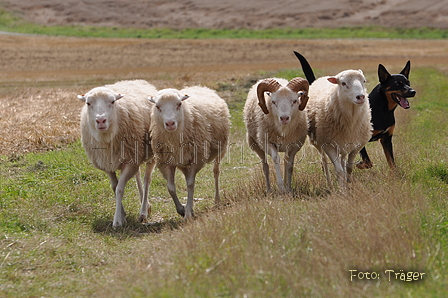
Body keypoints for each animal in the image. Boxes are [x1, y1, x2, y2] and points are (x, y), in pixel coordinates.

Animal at [79, 79, 158, 226]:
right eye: (88, 103)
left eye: (112, 101)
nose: (100, 120)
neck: (106, 138)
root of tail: (138, 81)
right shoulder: (108, 164)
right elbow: (114, 187)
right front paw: (122, 214)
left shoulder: (129, 162)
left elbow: (120, 189)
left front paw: (117, 221)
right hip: (135, 154)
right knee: (138, 175)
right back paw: (145, 205)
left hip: (150, 154)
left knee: (147, 180)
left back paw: (143, 211)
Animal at [149, 85, 231, 219]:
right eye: (157, 106)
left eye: (179, 104)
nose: (170, 123)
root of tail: (200, 87)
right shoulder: (167, 162)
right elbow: (171, 188)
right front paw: (182, 209)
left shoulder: (196, 158)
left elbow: (190, 185)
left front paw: (187, 213)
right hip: (183, 161)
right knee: (187, 175)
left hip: (221, 149)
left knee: (216, 172)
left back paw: (217, 200)